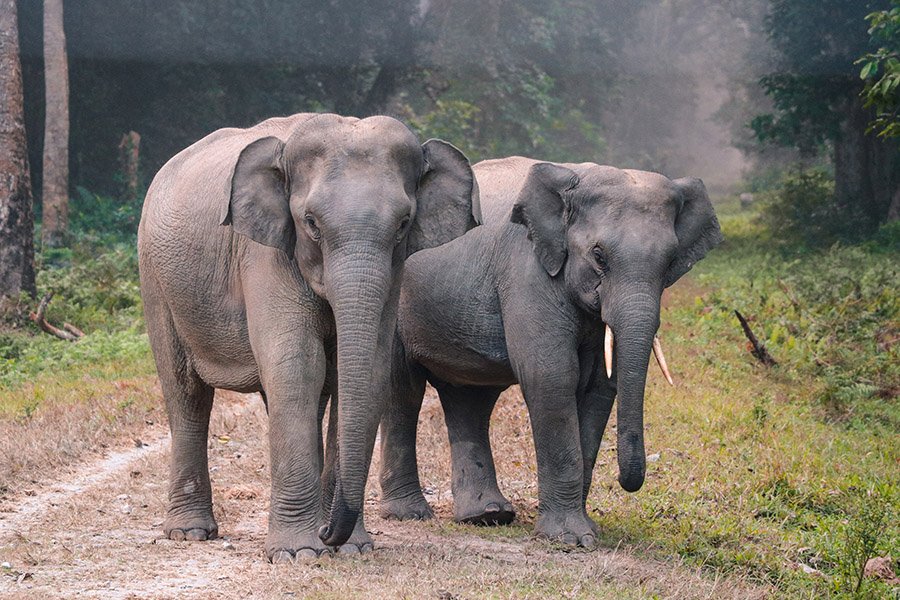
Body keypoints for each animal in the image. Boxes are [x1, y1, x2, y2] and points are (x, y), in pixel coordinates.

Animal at [137, 113, 478, 562]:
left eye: (404, 224)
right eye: (311, 223)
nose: (328, 533)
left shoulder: (394, 273)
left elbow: (366, 373)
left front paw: (352, 549)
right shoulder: (264, 254)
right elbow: (297, 367)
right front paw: (298, 553)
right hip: (156, 280)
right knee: (186, 393)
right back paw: (190, 533)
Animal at [378, 156, 722, 546]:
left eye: (669, 262)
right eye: (599, 256)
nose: (628, 481)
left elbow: (598, 389)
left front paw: (587, 531)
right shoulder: (528, 272)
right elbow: (552, 377)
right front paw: (570, 539)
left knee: (470, 398)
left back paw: (487, 515)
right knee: (403, 391)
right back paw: (410, 513)